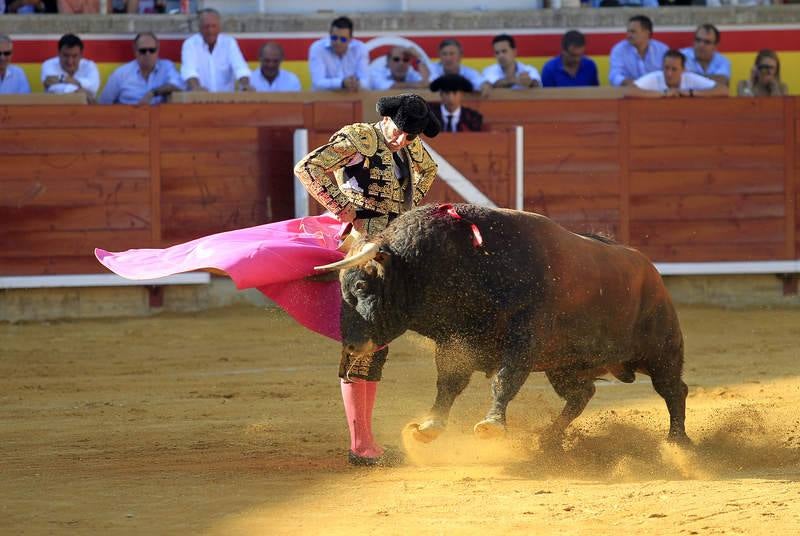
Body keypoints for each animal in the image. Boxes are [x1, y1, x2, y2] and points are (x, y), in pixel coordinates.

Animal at [316, 203, 692, 446]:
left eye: (361, 287)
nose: (351, 345)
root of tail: (650, 269)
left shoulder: (524, 338)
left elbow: (504, 380)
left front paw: (492, 425)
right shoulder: (456, 341)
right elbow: (448, 383)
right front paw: (430, 425)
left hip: (662, 350)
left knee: (674, 389)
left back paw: (677, 442)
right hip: (563, 365)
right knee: (582, 393)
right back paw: (549, 438)